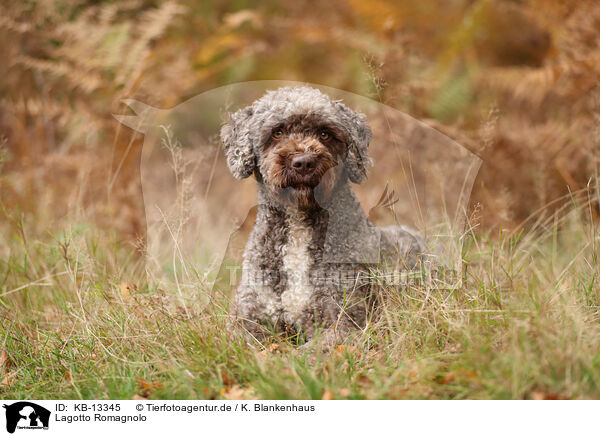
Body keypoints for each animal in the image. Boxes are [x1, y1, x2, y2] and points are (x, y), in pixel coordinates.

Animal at [219, 85, 422, 344]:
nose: (304, 162)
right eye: (277, 132)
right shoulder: (246, 317)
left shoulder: (345, 320)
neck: (299, 227)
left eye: (325, 134)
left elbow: (314, 349)